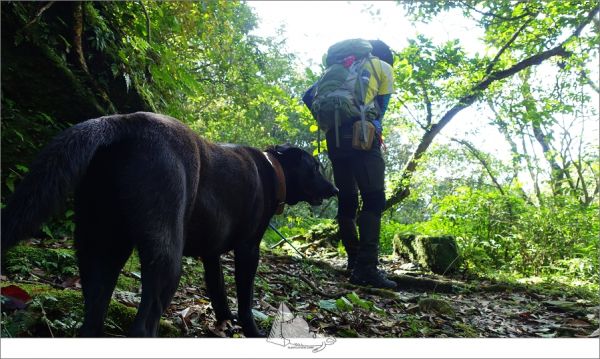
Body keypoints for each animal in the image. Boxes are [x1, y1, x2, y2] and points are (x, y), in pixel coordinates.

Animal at [1, 112, 338, 338]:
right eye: (315, 167)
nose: (335, 190)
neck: (273, 168)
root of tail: (125, 123)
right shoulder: (247, 250)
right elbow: (245, 299)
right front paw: (252, 331)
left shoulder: (211, 255)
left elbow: (218, 290)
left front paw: (224, 321)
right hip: (166, 261)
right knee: (143, 326)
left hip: (100, 248)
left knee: (93, 317)